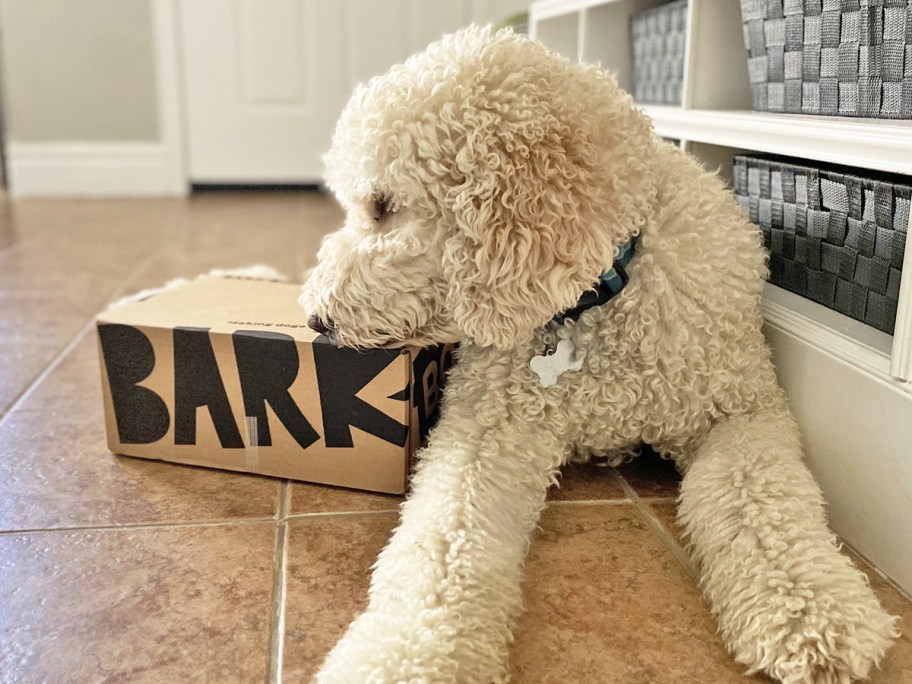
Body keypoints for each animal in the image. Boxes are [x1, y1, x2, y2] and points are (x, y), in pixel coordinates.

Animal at [302, 25, 900, 684]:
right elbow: (443, 538)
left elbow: (763, 497)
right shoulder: (489, 428)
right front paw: (404, 652)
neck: (592, 301)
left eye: (382, 206)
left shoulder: (740, 411)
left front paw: (813, 610)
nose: (316, 319)